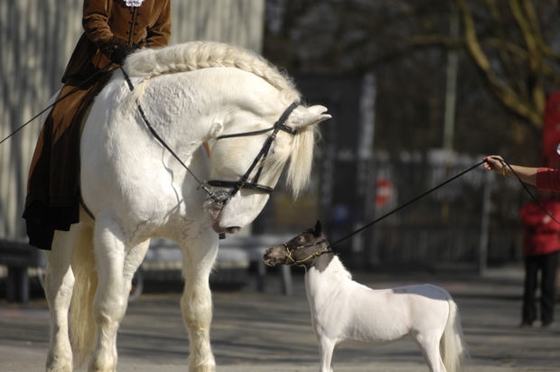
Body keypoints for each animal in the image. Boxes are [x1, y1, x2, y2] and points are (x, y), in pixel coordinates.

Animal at [44, 41, 332, 372]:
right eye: (272, 155)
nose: (234, 225)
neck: (162, 143)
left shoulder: (199, 238)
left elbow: (198, 308)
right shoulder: (111, 231)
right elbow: (107, 306)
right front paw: (101, 364)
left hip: (137, 245)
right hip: (65, 230)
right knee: (61, 290)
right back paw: (59, 360)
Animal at [264, 221, 466, 372]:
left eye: (300, 238)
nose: (267, 253)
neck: (331, 293)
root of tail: (438, 291)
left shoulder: (326, 342)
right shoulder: (331, 345)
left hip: (427, 340)